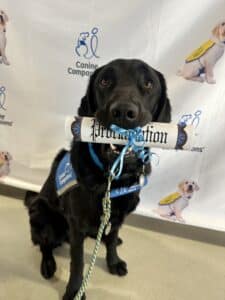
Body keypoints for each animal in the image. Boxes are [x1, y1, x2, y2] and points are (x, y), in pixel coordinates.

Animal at [24, 58, 171, 300]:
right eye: (104, 81)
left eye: (149, 83)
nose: (123, 111)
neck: (113, 176)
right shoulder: (76, 225)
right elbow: (78, 263)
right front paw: (74, 291)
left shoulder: (120, 215)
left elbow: (111, 239)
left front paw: (113, 261)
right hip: (43, 216)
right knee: (44, 244)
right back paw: (48, 264)